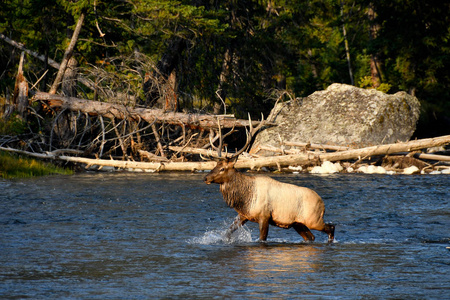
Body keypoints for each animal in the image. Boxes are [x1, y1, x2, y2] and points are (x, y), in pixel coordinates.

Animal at [204, 116, 334, 243]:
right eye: (216, 165)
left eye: (223, 168)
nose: (206, 178)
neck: (245, 198)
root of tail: (322, 204)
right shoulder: (244, 215)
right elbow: (227, 233)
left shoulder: (264, 216)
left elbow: (262, 239)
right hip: (298, 223)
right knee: (311, 237)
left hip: (313, 219)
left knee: (331, 227)